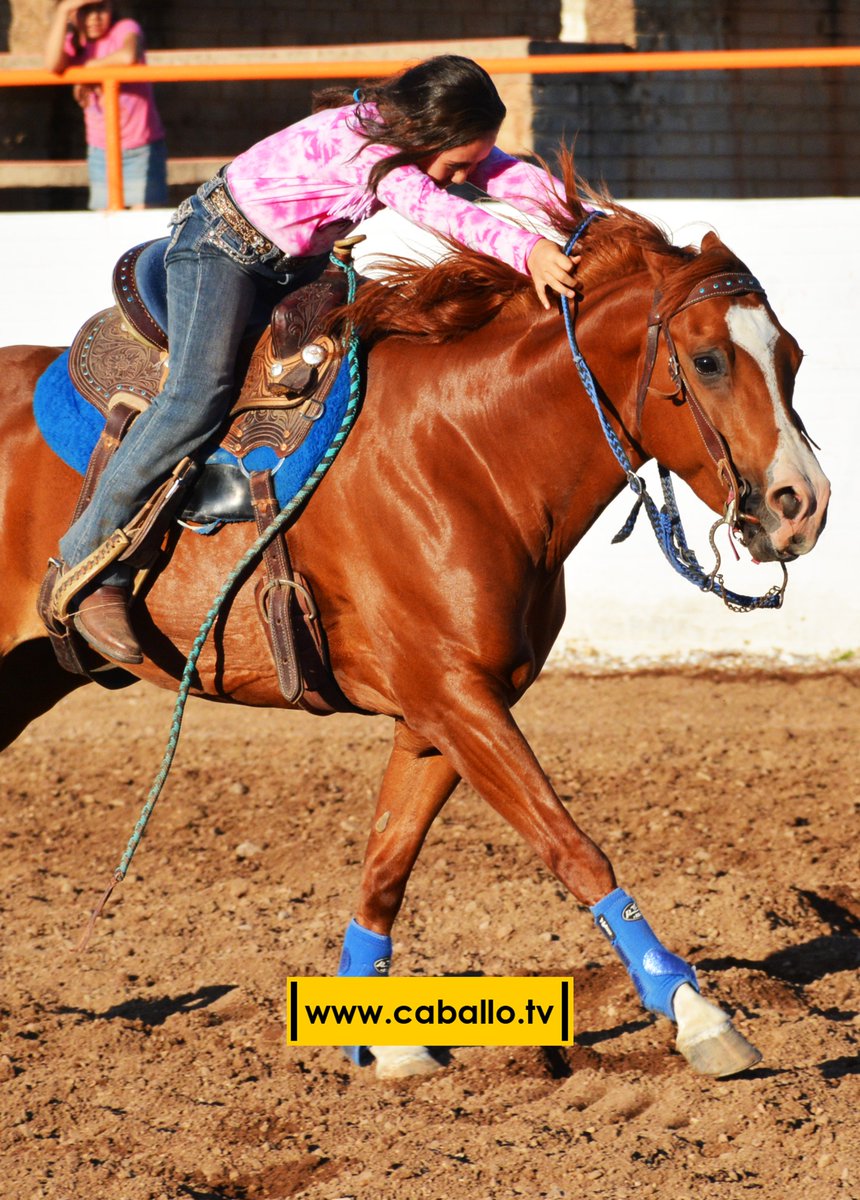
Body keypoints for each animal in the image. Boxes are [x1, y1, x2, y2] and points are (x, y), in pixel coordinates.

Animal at [0, 166, 830, 1080]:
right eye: (709, 360)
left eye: (791, 357)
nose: (803, 505)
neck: (466, 454)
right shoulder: (456, 699)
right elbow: (571, 845)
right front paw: (696, 1013)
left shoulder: (440, 713)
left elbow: (386, 864)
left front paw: (383, 1042)